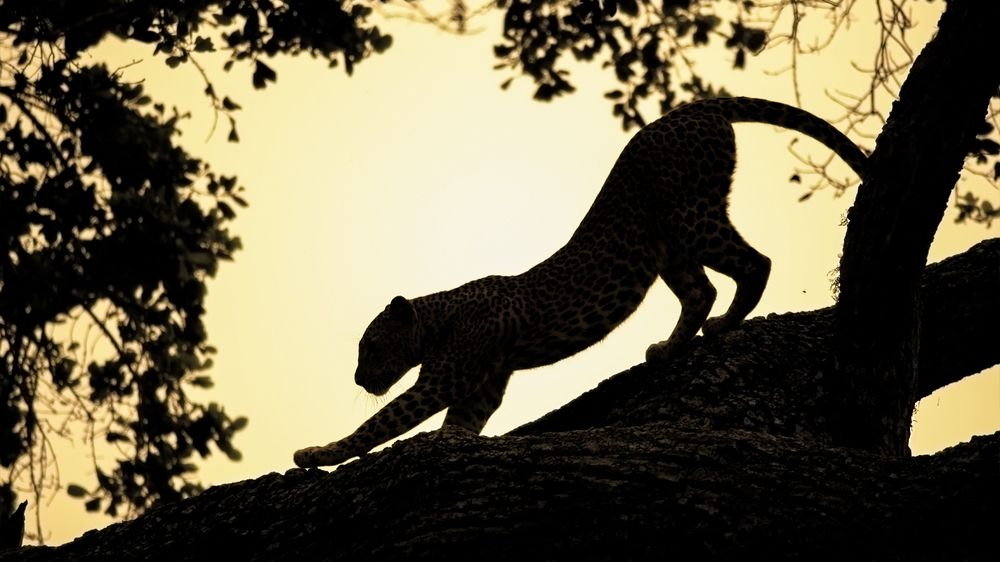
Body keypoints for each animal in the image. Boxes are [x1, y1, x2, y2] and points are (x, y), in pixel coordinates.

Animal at [293, 97, 866, 468]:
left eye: (370, 347)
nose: (358, 379)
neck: (440, 316)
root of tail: (694, 108)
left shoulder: (444, 377)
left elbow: (383, 420)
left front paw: (317, 453)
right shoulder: (484, 385)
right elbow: (458, 426)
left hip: (690, 215)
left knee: (755, 263)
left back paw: (726, 324)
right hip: (665, 244)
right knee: (700, 289)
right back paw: (668, 347)